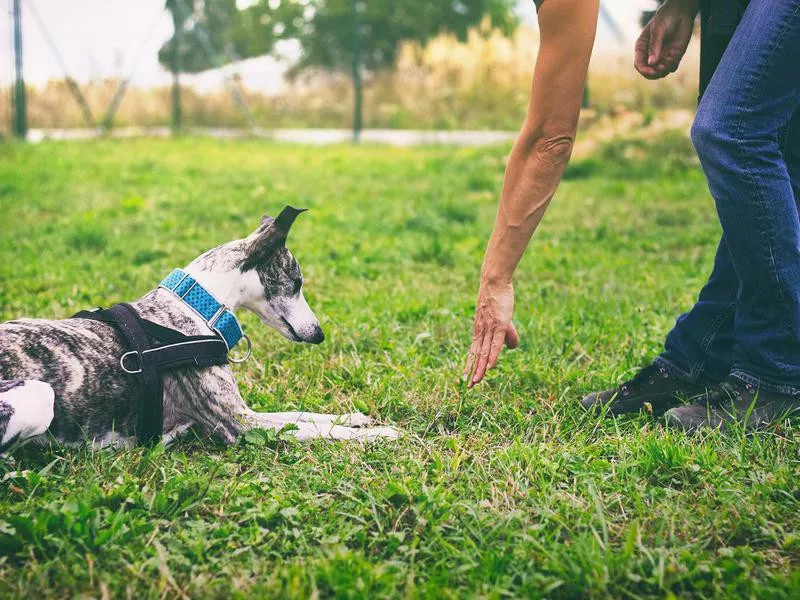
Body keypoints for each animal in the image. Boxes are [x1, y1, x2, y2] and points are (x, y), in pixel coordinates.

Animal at [0, 206, 400, 450]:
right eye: (297, 282)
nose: (319, 334)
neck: (195, 306)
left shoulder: (246, 412)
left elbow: (303, 414)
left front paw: (356, 418)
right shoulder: (239, 423)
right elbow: (316, 429)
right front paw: (380, 434)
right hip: (40, 396)